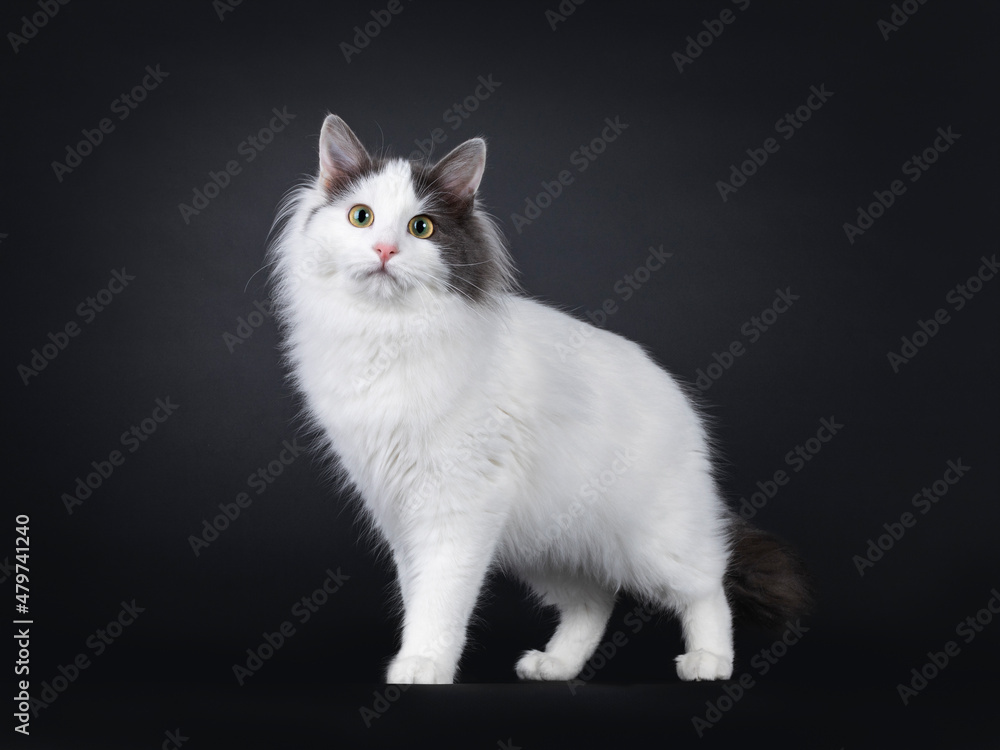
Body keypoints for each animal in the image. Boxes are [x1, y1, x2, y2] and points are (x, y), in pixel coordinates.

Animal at [268, 114, 812, 684]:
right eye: (361, 217)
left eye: (421, 228)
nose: (384, 251)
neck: (386, 337)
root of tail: (677, 396)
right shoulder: (397, 508)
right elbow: (417, 592)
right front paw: (419, 659)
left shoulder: (454, 508)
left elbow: (439, 599)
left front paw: (423, 665)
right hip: (550, 548)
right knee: (595, 603)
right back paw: (555, 666)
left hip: (654, 542)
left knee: (708, 586)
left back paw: (709, 662)